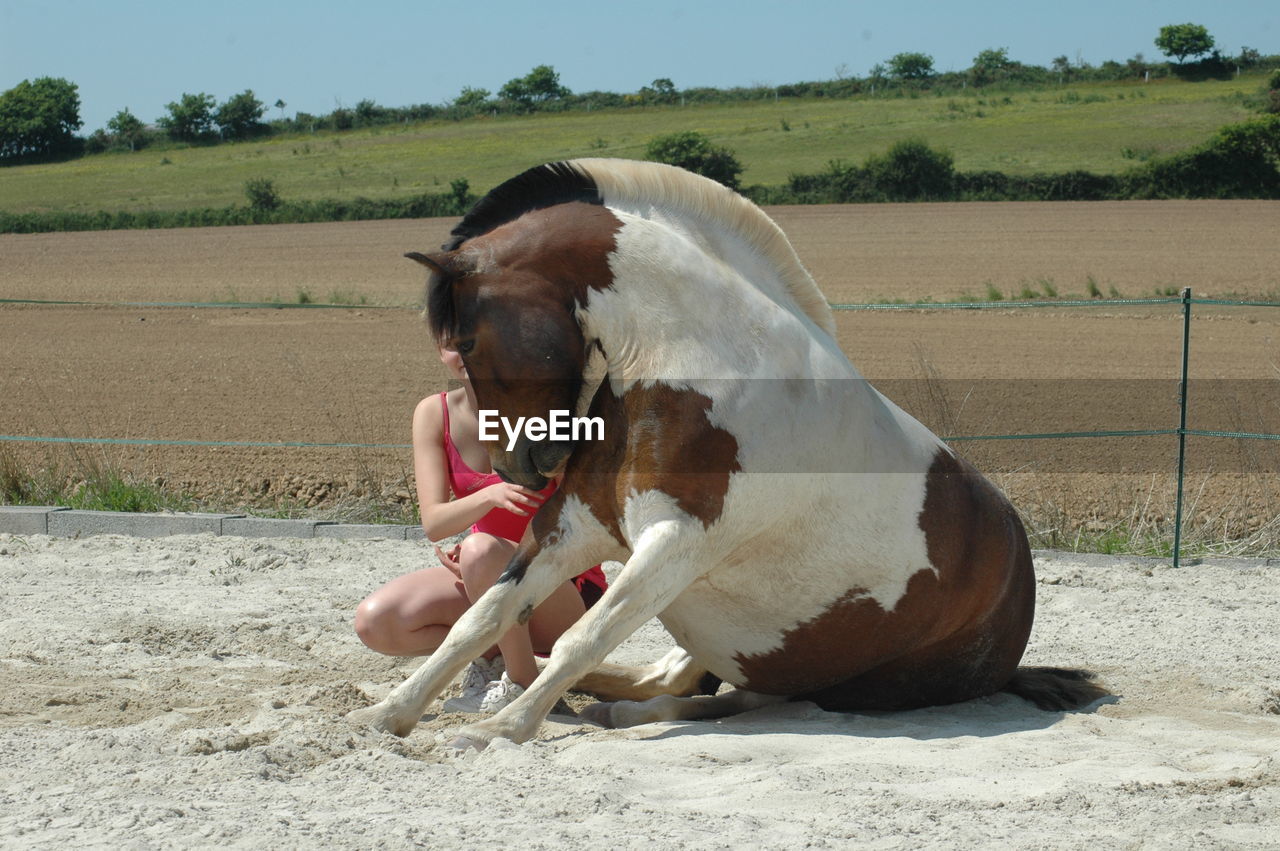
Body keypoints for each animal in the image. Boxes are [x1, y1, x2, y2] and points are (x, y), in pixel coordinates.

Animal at [347, 158, 1105, 748]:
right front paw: (390, 714)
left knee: (736, 700)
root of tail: (1018, 583)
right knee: (667, 675)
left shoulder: (677, 543)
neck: (693, 366)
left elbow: (580, 636)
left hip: (848, 681)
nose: (516, 468)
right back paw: (589, 701)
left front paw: (499, 729)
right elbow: (482, 618)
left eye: (467, 341)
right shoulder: (572, 526)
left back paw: (609, 710)